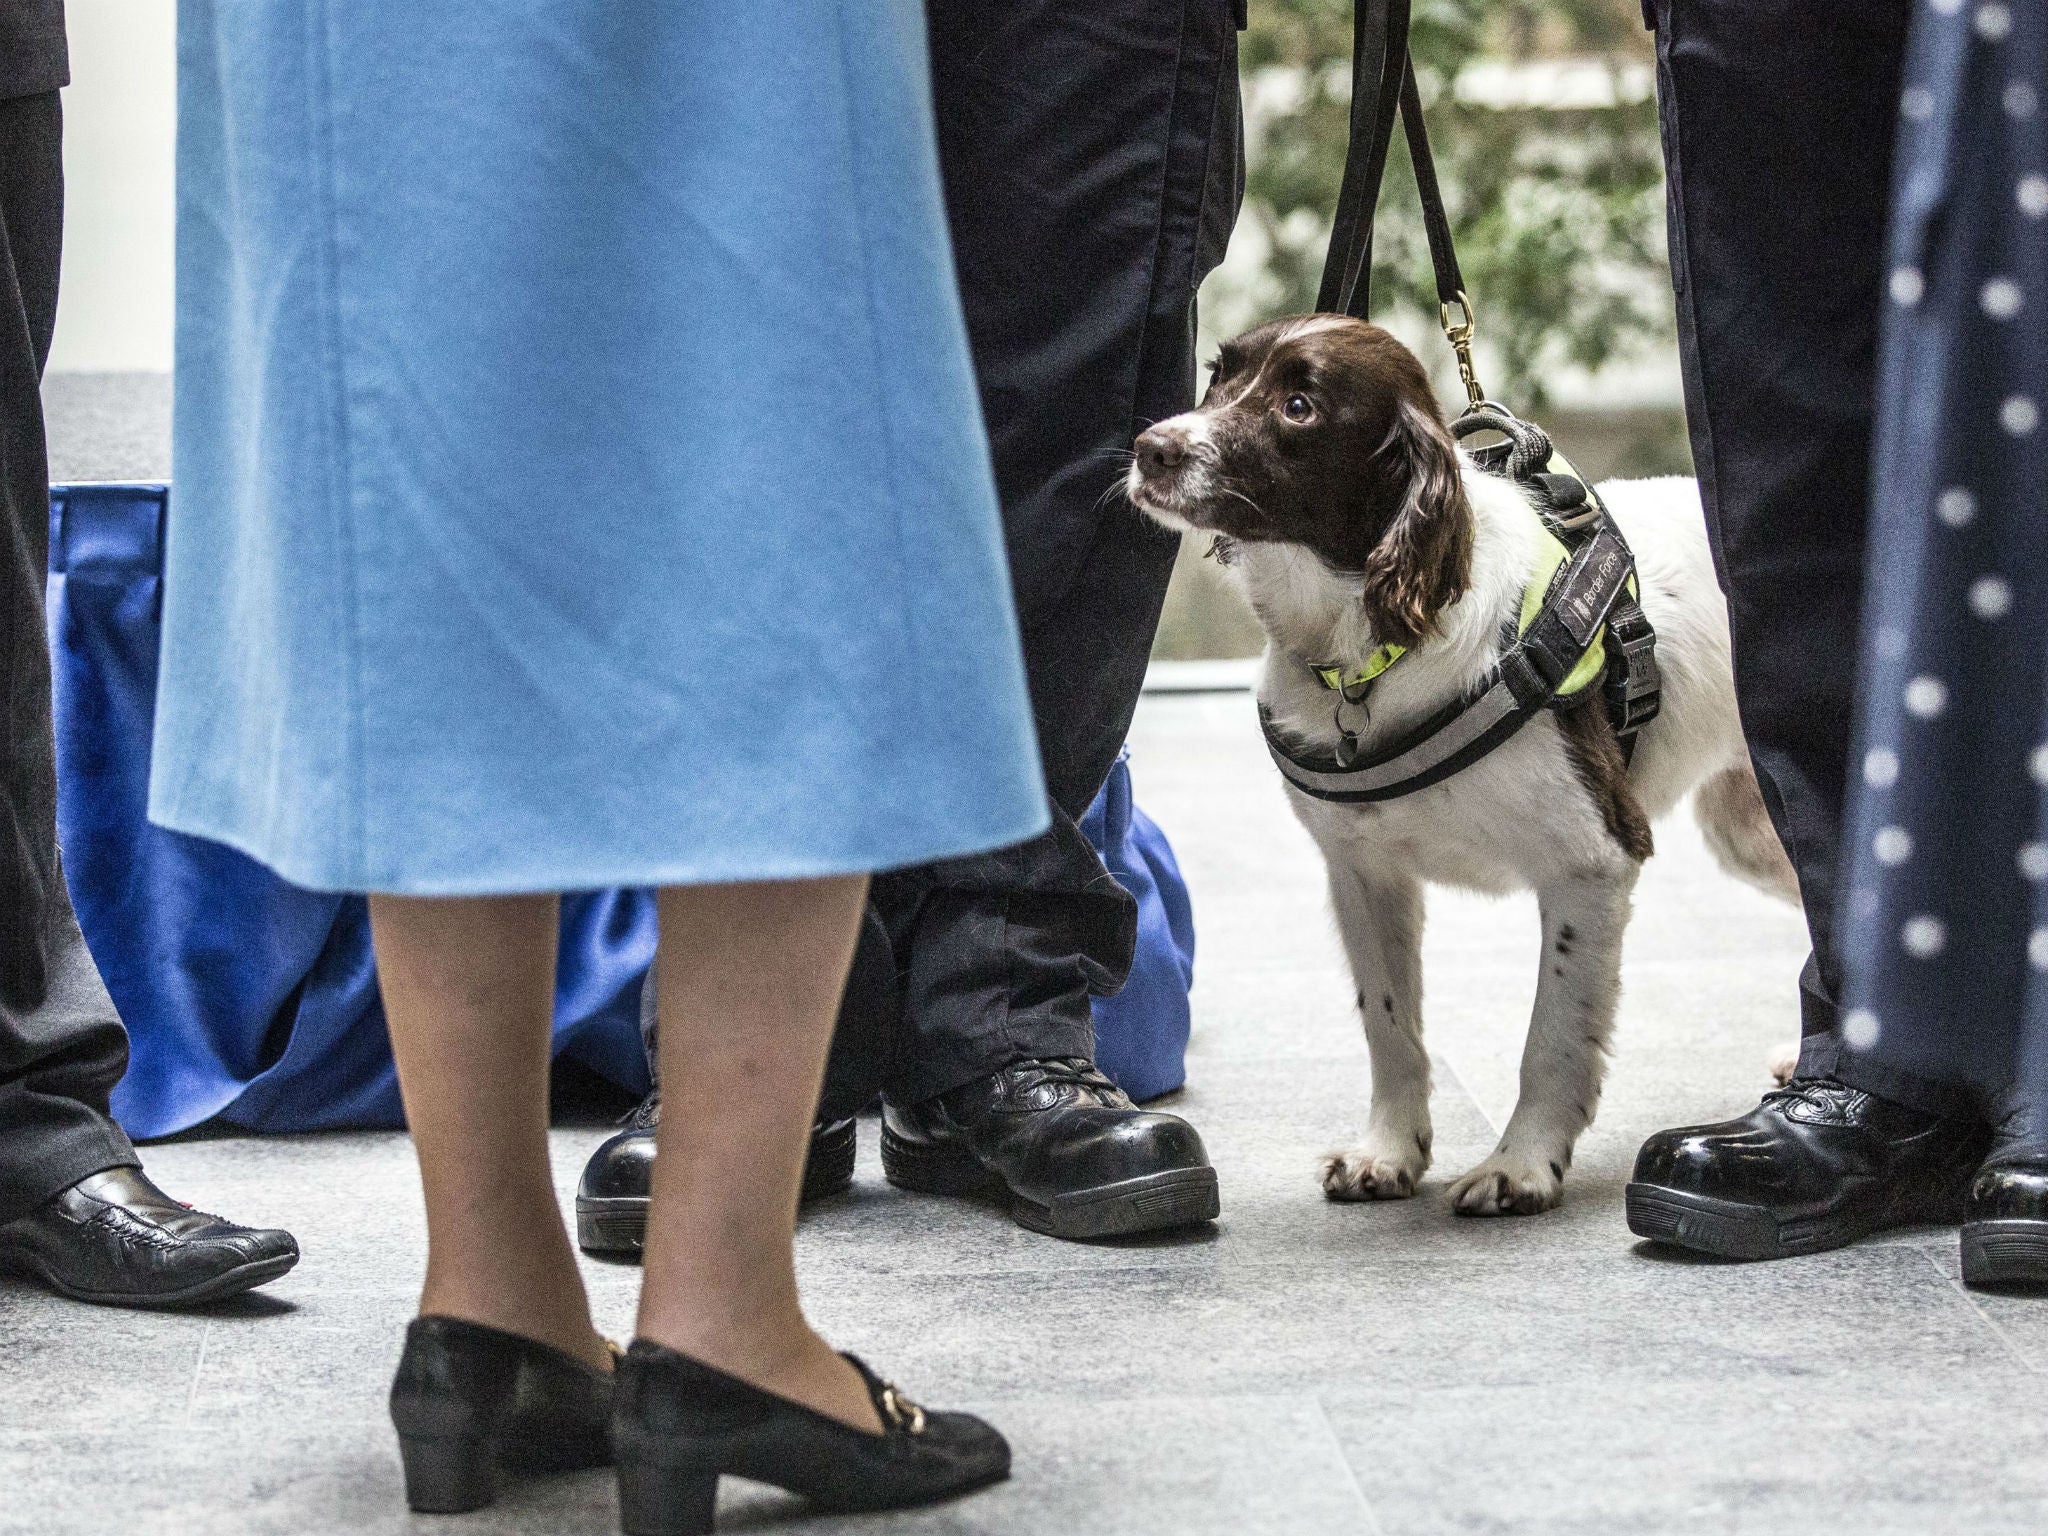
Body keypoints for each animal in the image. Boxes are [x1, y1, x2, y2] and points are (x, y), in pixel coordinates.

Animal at [1138, 319, 1794, 1220]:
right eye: (1218, 376)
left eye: (1300, 406)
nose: (1149, 448)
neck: (1372, 647)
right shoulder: (1362, 870)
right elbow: (1389, 1025)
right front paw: (1389, 1153)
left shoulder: (1594, 861)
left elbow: (1553, 1035)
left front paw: (1521, 1165)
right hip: (1748, 828)